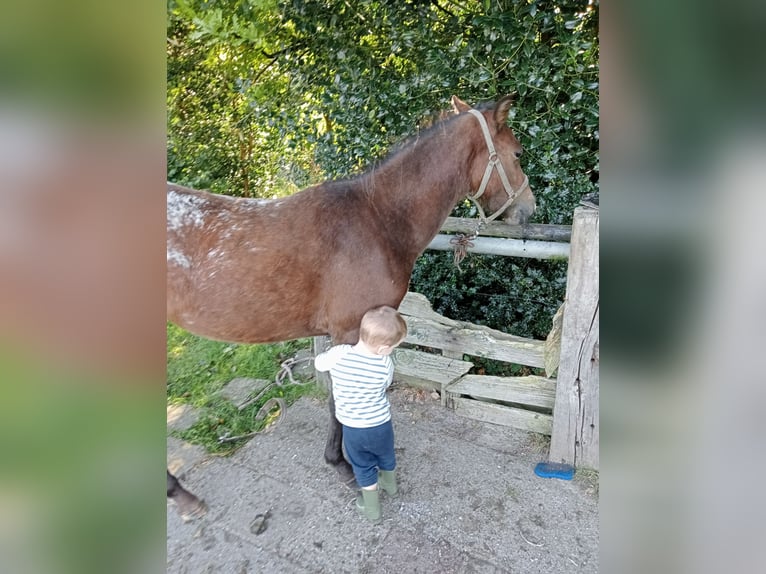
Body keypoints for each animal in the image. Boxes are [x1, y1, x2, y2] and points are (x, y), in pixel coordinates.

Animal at [166, 95, 540, 520]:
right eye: (517, 153)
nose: (529, 209)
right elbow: (340, 400)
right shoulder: (348, 333)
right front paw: (343, 464)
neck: (377, 218)